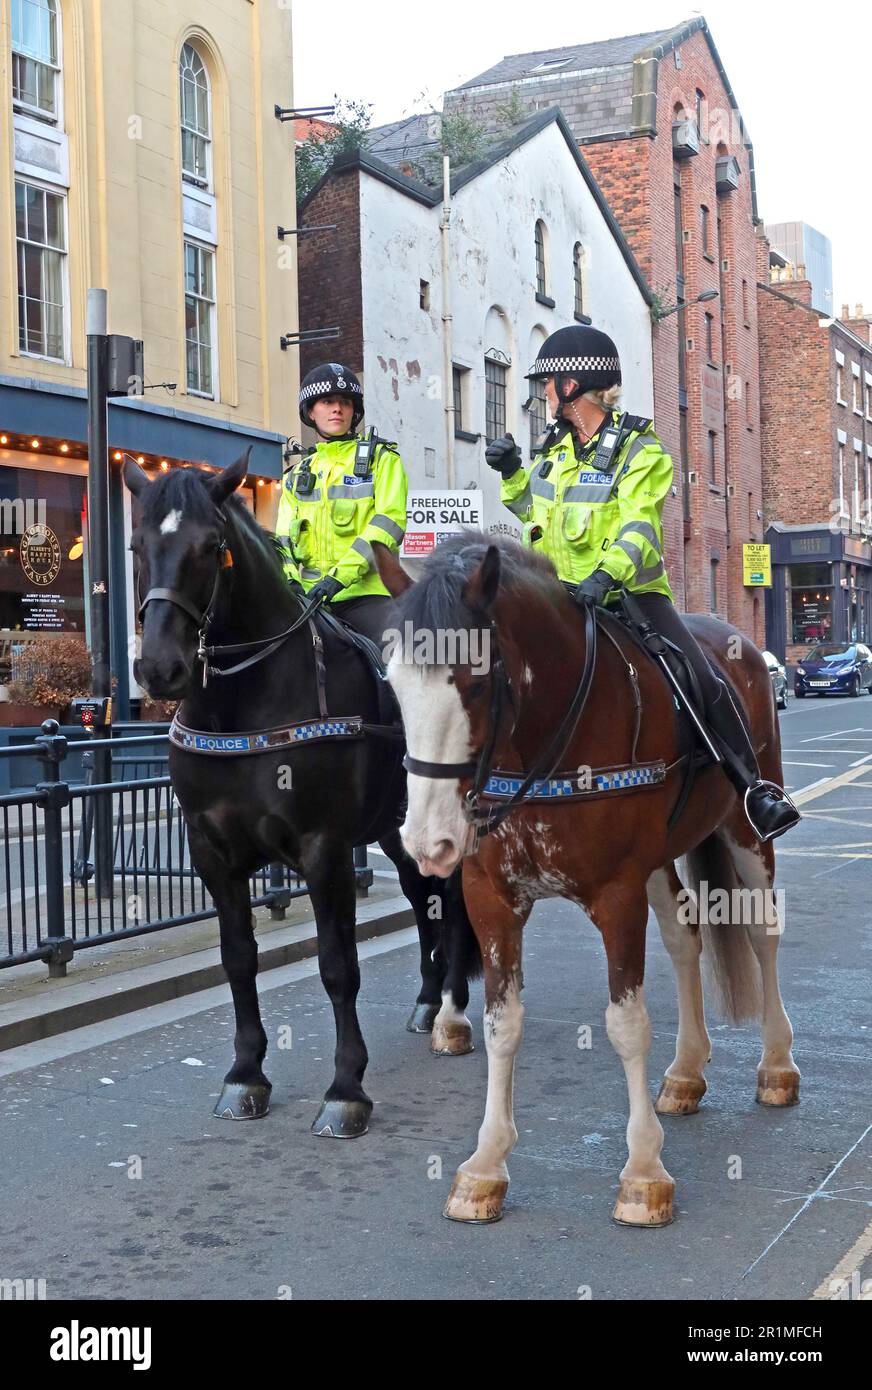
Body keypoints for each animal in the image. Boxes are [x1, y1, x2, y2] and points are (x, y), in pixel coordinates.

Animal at [124, 450, 478, 1134]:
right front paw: (245, 1075)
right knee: (423, 898)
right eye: (135, 545)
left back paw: (453, 1011)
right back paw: (428, 1002)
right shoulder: (211, 852)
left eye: (211, 547)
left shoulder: (324, 848)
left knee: (448, 899)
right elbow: (238, 958)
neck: (241, 701)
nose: (160, 668)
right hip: (394, 832)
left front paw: (346, 1088)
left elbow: (338, 966)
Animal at [375, 533, 801, 1228]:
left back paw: (777, 1066)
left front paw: (644, 1172)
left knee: (762, 932)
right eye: (394, 683)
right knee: (685, 941)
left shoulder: (616, 896)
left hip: (745, 832)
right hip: (660, 861)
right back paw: (686, 1071)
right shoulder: (492, 902)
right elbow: (502, 1026)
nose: (427, 842)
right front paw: (485, 1166)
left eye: (475, 682)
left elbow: (626, 1026)